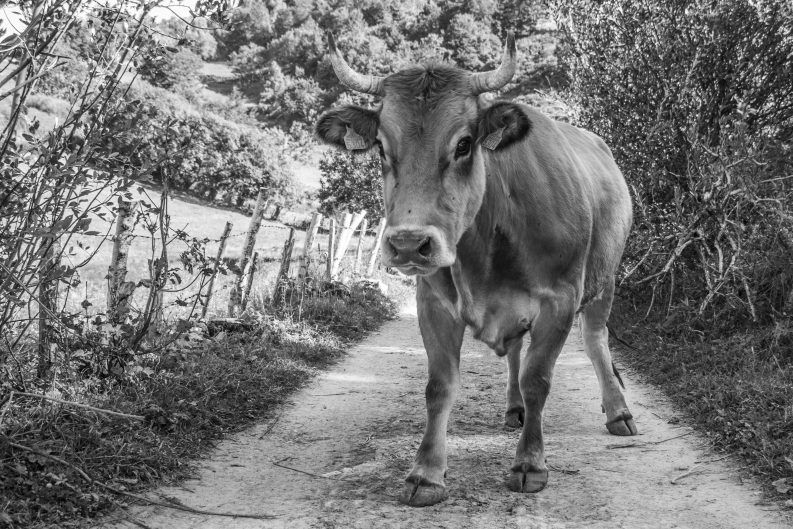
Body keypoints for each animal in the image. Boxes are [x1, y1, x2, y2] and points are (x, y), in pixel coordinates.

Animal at [315, 32, 637, 507]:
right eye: (381, 148)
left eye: (464, 143)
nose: (408, 243)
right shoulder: (432, 300)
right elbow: (440, 387)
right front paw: (426, 473)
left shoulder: (559, 299)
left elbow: (539, 379)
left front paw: (530, 464)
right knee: (516, 353)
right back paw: (514, 408)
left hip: (606, 280)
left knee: (596, 342)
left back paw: (617, 412)